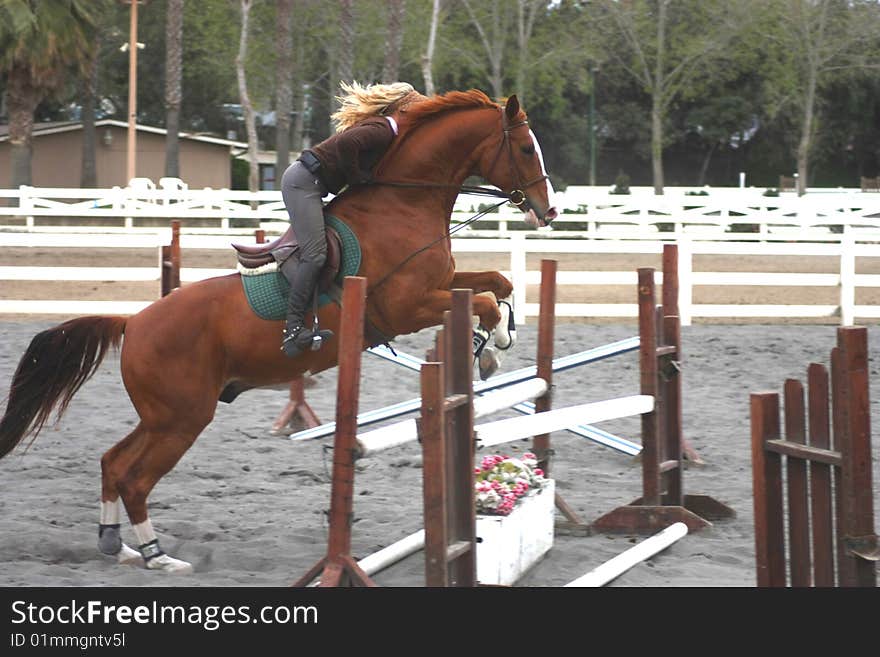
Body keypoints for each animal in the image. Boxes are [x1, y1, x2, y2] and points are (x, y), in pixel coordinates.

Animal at [0, 89, 556, 572]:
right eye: (527, 147)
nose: (548, 210)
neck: (403, 204)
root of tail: (133, 322)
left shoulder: (441, 286)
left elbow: (498, 282)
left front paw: (497, 342)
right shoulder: (409, 305)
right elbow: (483, 300)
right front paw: (492, 348)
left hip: (163, 415)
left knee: (113, 463)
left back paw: (118, 545)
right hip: (182, 418)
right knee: (134, 478)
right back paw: (159, 556)